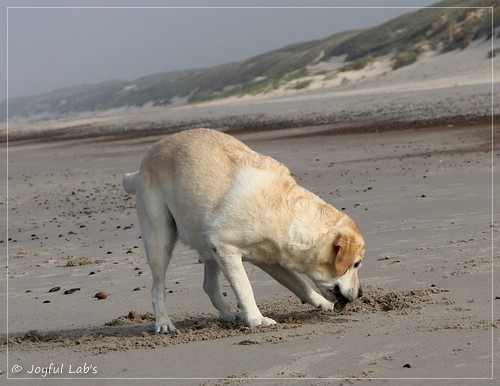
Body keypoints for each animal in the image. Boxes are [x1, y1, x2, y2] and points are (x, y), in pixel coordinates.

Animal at [122, 128, 364, 334]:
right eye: (356, 264)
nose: (361, 293)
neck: (285, 212)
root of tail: (142, 165)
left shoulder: (271, 261)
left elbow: (300, 285)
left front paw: (323, 304)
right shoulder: (225, 248)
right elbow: (245, 288)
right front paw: (257, 319)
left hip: (207, 246)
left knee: (209, 286)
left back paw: (229, 314)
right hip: (160, 239)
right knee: (157, 287)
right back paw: (164, 323)